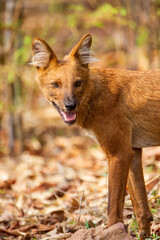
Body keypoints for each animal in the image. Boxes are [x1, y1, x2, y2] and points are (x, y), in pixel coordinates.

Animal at [31, 33, 156, 238]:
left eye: (77, 83)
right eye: (55, 84)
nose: (70, 106)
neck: (95, 95)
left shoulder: (119, 154)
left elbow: (113, 206)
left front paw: (112, 231)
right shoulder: (133, 151)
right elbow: (140, 206)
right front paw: (143, 235)